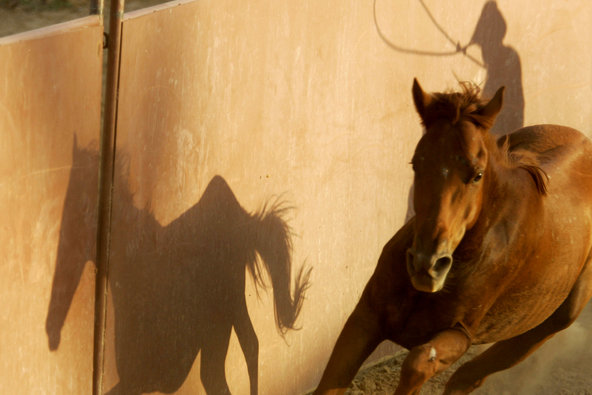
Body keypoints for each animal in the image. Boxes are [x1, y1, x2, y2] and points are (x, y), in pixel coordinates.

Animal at [314, 79, 592, 394]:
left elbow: (419, 362)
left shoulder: (460, 333)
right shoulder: (365, 318)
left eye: (477, 174)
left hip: (557, 316)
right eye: (416, 163)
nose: (427, 264)